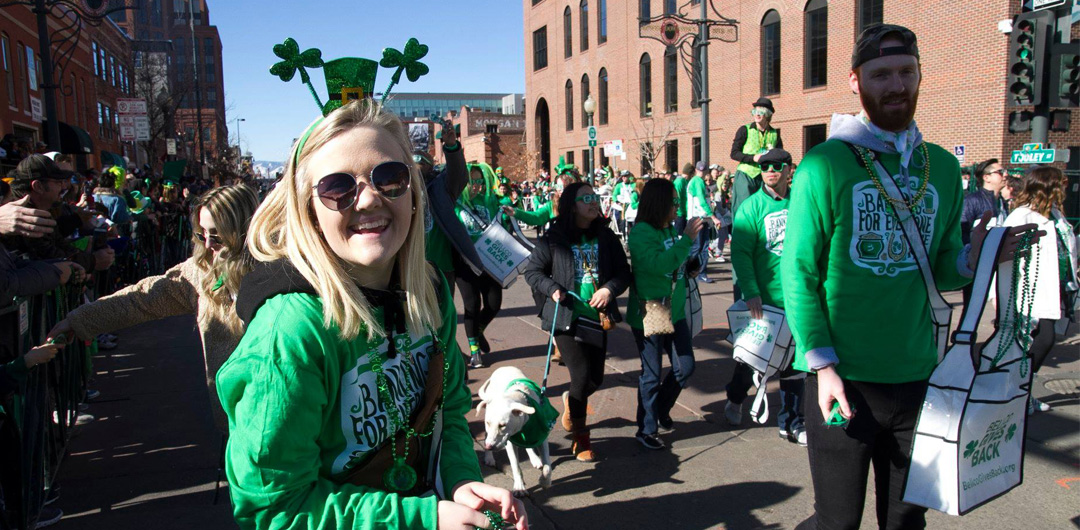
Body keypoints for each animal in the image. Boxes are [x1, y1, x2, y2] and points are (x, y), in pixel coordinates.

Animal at [477, 364, 552, 498]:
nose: (489, 446)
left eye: (502, 425)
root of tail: (504, 366)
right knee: (486, 436)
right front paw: (519, 487)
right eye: (488, 422)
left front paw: (545, 481)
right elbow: (515, 466)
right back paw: (489, 458)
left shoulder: (541, 436)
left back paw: (535, 459)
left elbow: (547, 466)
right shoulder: (509, 442)